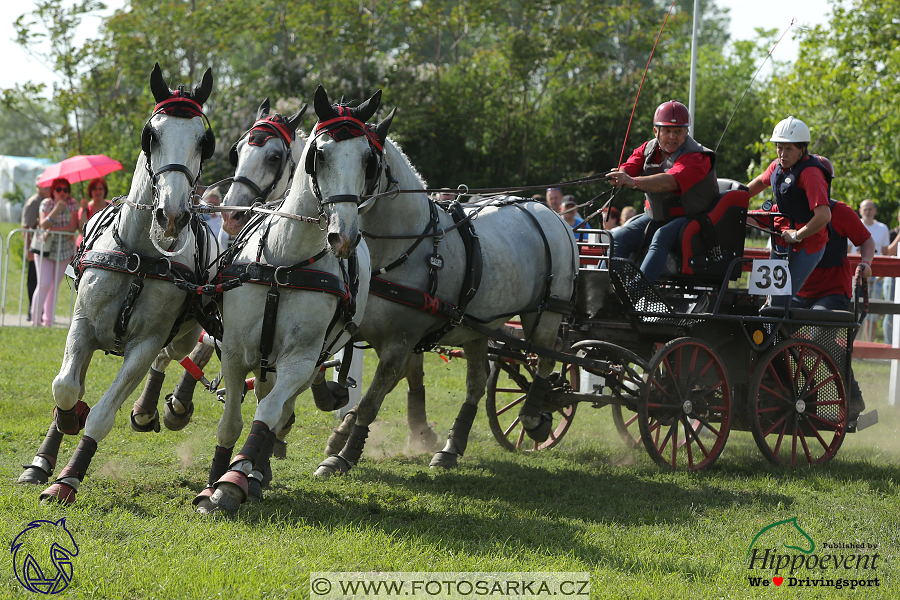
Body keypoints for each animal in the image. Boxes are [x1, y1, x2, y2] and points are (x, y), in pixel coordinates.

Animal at [17, 63, 220, 504]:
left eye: (204, 141)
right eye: (152, 135)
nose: (172, 216)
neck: (140, 255)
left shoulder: (143, 346)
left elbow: (103, 414)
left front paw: (68, 480)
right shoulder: (81, 325)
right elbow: (65, 387)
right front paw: (67, 423)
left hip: (181, 334)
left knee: (172, 355)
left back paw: (151, 410)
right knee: (73, 382)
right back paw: (41, 461)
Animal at [193, 96, 376, 512]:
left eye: (367, 159)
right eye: (319, 155)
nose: (344, 235)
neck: (284, 259)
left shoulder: (301, 360)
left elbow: (270, 414)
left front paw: (234, 481)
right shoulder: (234, 350)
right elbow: (231, 421)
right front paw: (214, 481)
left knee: (278, 407)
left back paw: (254, 474)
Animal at [310, 86, 576, 476]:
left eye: (368, 160)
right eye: (320, 154)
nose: (341, 234)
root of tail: (547, 210)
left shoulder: (401, 341)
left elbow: (373, 399)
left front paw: (344, 454)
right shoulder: (351, 326)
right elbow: (322, 372)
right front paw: (337, 408)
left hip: (546, 313)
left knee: (546, 356)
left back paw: (533, 415)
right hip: (479, 326)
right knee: (478, 382)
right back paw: (451, 447)